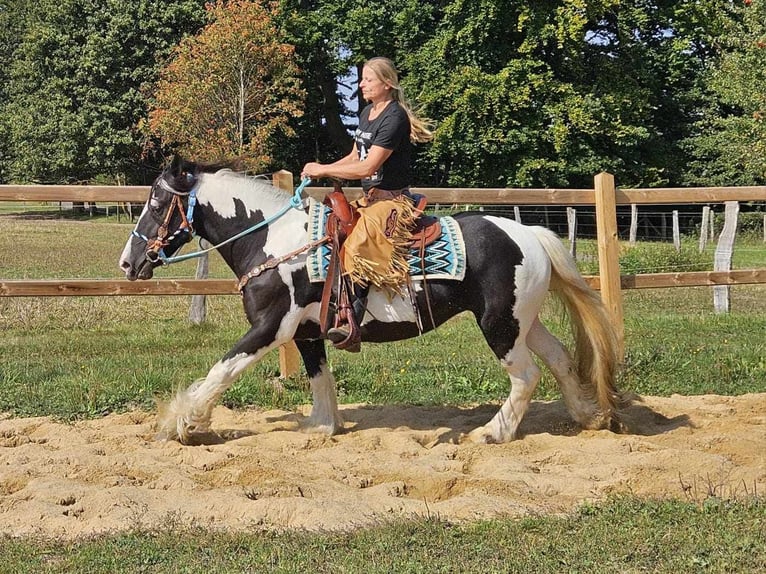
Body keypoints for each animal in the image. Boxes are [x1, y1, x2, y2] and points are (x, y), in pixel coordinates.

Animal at [120, 156, 632, 446]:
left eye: (155, 203)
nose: (128, 262)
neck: (273, 240)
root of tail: (530, 233)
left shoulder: (271, 326)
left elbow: (221, 371)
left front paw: (180, 424)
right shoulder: (307, 332)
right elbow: (319, 377)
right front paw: (321, 427)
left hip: (500, 326)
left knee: (526, 376)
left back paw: (492, 432)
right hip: (523, 320)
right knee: (561, 360)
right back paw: (590, 416)